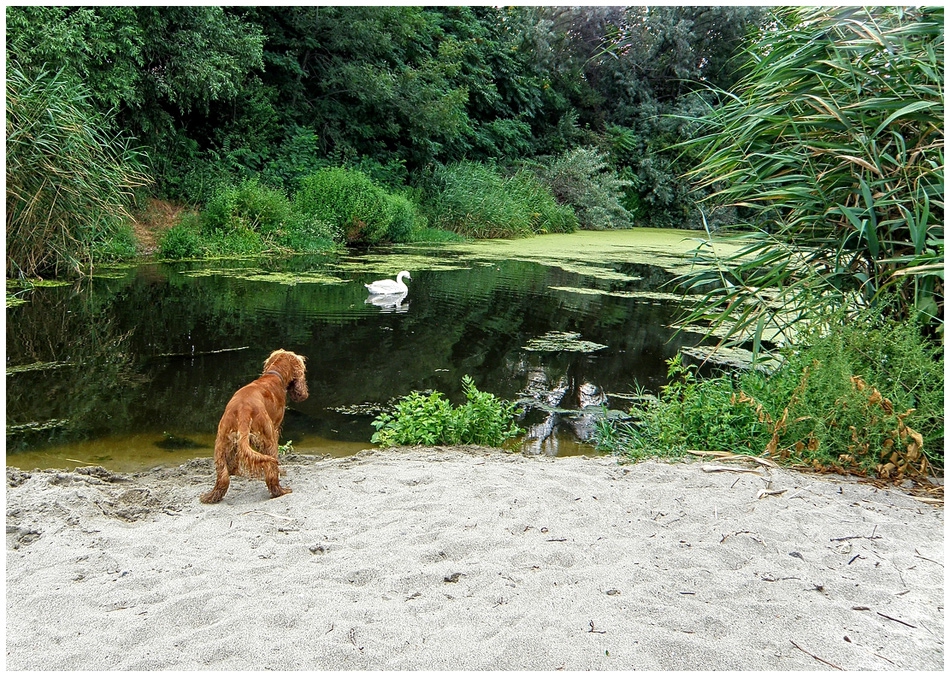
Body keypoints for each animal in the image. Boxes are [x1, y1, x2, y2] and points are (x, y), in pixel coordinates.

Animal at [201, 348, 308, 502]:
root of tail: (243, 409)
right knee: (271, 469)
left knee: (224, 475)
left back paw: (212, 496)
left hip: (222, 441)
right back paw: (280, 490)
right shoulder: (275, 429)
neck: (274, 374)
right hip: (268, 438)